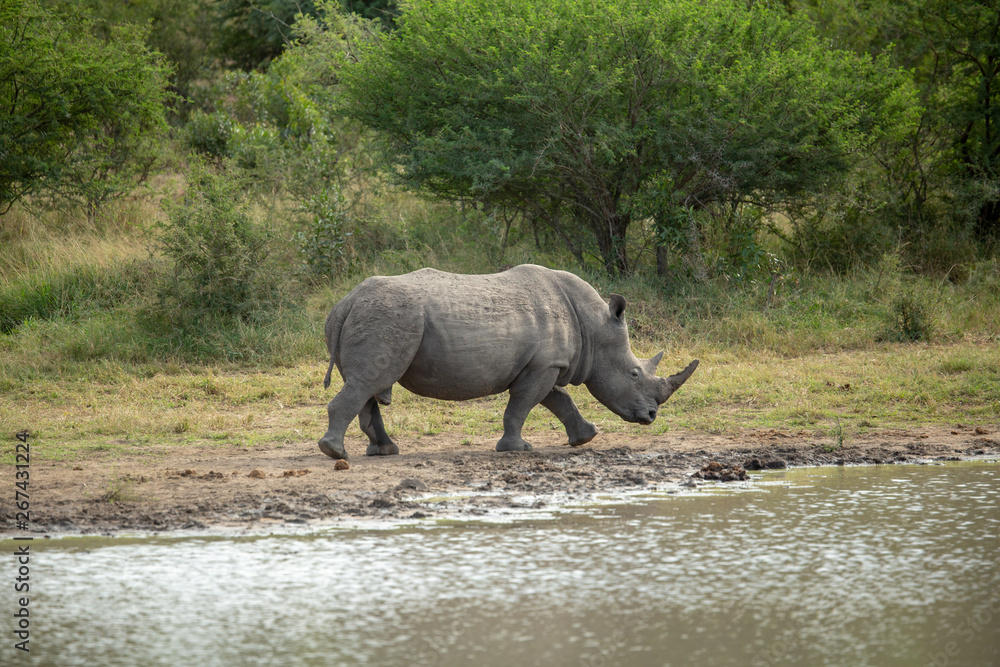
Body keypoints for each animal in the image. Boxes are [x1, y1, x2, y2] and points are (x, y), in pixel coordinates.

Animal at [318, 264, 698, 459]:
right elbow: (523, 405)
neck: (594, 326)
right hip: (388, 319)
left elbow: (558, 400)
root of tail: (346, 302)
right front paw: (518, 449)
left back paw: (385, 451)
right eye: (634, 373)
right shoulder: (545, 365)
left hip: (377, 318)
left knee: (368, 385)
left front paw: (585, 438)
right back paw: (335, 453)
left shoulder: (546, 363)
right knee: (369, 382)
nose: (651, 415)